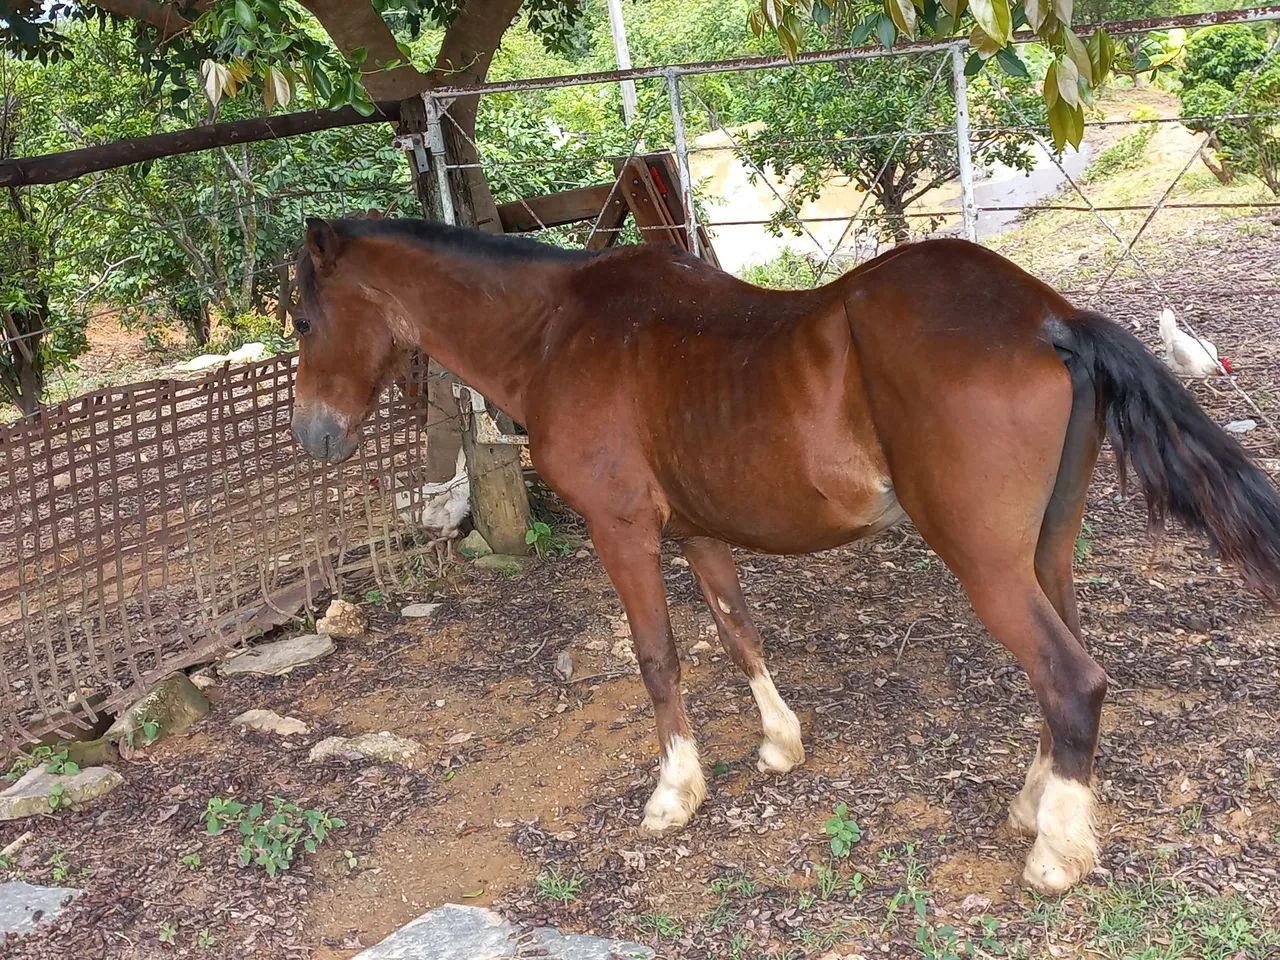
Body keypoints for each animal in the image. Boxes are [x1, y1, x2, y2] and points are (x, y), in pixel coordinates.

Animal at [289, 215, 1280, 894]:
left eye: (300, 320)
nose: (310, 437)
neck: (560, 327)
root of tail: (1051, 317)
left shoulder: (622, 530)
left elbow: (658, 656)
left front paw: (676, 792)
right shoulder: (697, 532)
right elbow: (739, 635)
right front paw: (778, 744)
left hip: (987, 563)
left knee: (1070, 679)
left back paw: (1058, 852)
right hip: (1048, 551)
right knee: (1065, 668)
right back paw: (1036, 805)